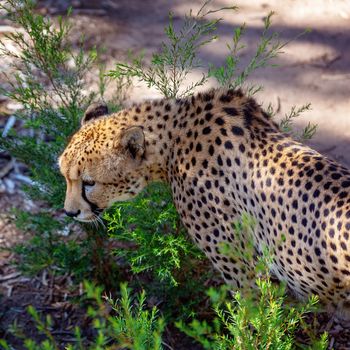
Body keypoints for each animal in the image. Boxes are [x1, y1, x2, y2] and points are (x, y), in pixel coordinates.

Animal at [58, 89, 350, 318]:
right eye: (64, 175)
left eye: (89, 182)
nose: (70, 212)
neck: (174, 135)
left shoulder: (242, 269)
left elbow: (250, 325)